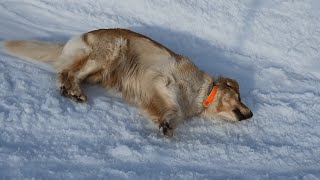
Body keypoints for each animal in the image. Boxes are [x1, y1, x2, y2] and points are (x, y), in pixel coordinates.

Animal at [3, 28, 252, 136]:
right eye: (239, 97)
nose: (251, 114)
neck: (203, 92)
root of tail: (80, 37)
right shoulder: (163, 81)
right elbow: (175, 108)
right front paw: (168, 123)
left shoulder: (154, 95)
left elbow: (168, 110)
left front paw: (166, 124)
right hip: (114, 49)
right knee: (68, 72)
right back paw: (73, 90)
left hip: (103, 71)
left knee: (68, 72)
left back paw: (72, 90)